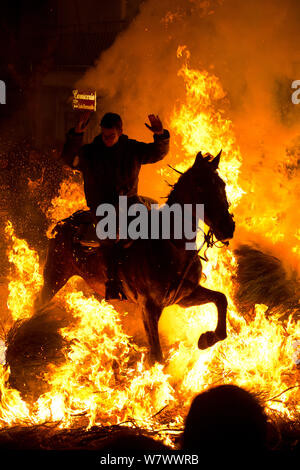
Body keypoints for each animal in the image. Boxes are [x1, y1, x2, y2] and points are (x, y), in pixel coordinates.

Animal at [35, 151, 236, 364]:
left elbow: (221, 299)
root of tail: (64, 223)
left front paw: (207, 339)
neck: (172, 247)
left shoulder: (185, 296)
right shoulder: (148, 308)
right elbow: (157, 356)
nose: (227, 227)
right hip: (54, 277)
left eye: (222, 184)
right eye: (199, 185)